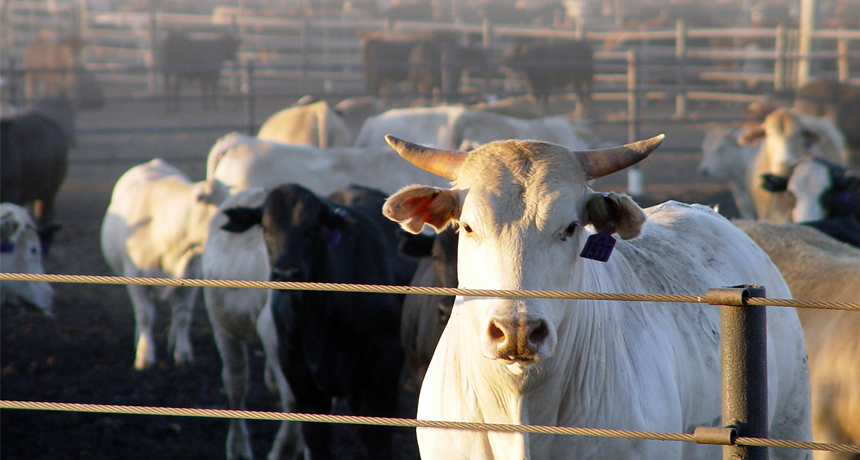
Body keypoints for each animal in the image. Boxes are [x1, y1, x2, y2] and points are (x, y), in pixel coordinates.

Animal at [101, 158, 230, 370]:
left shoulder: (191, 273)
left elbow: (183, 316)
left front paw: (183, 354)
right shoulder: (134, 274)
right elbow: (145, 315)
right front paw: (145, 356)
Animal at [222, 183, 410, 460]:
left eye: (312, 229)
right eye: (266, 228)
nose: (286, 273)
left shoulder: (386, 359)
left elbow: (376, 434)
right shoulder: (294, 365)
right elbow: (315, 434)